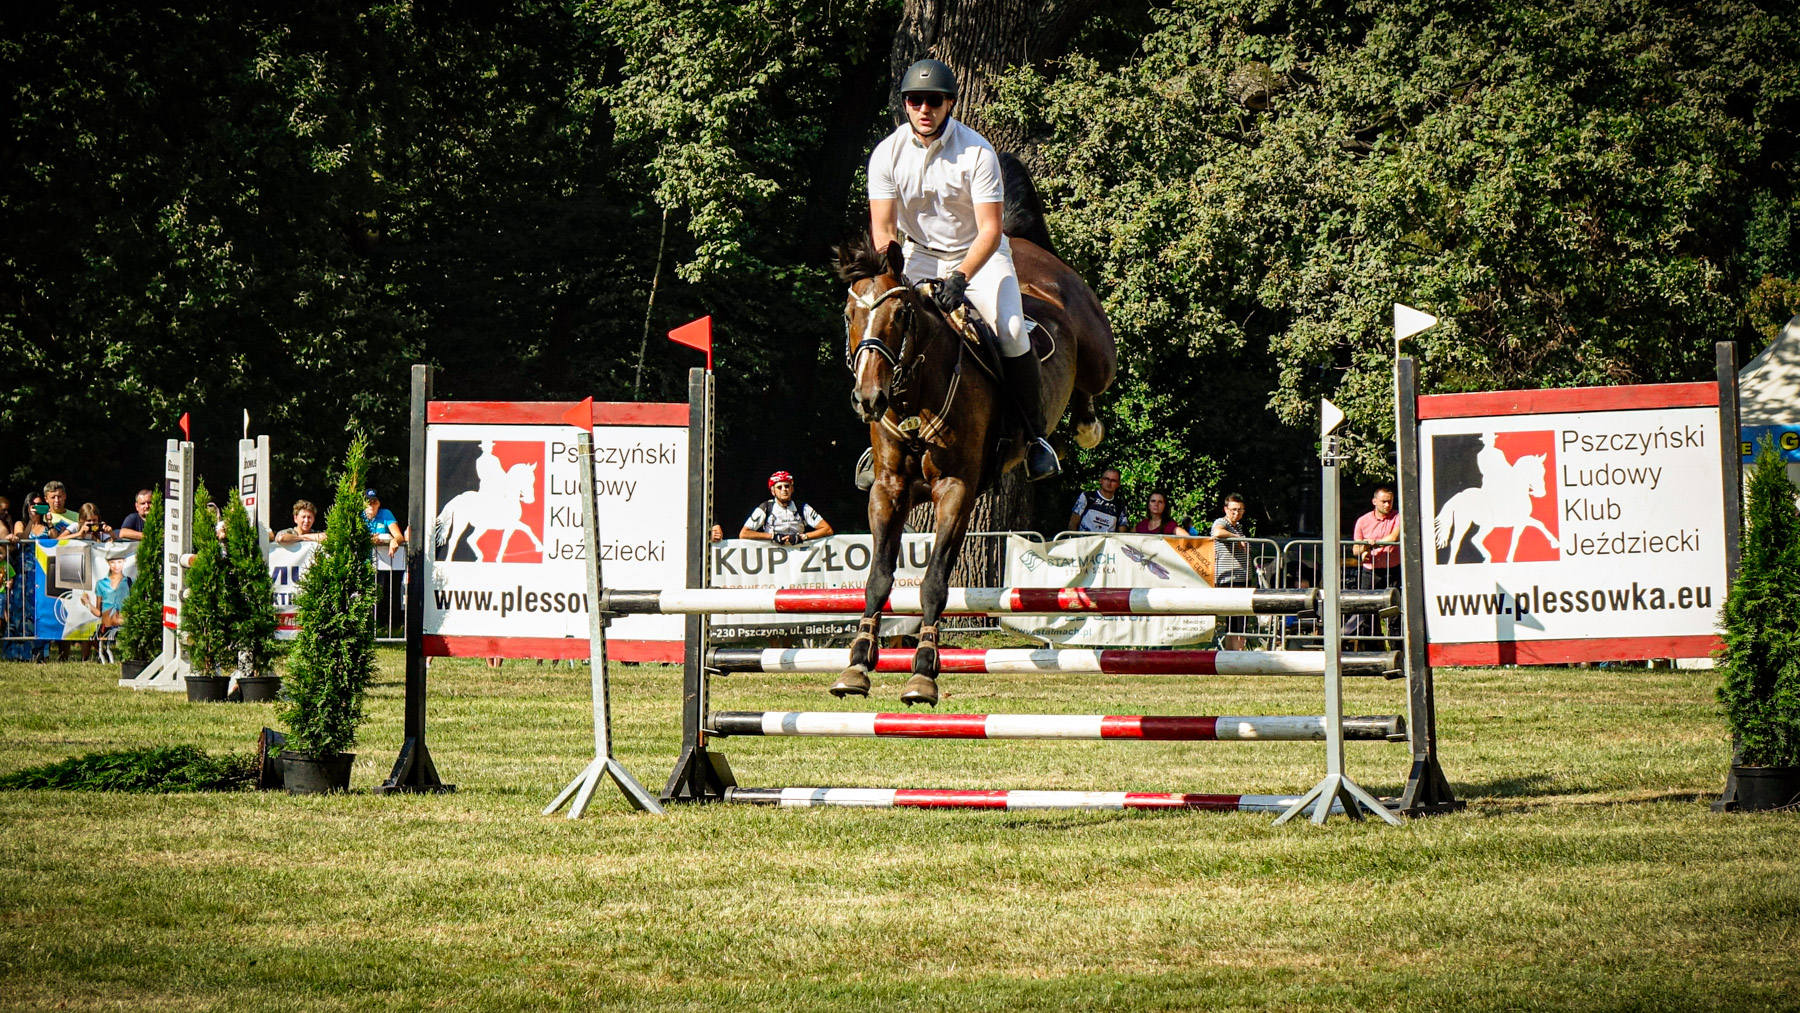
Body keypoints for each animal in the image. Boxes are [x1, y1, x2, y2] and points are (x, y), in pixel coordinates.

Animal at [835, 162, 1116, 708]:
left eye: (900, 315)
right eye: (849, 315)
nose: (868, 398)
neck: (915, 392)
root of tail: (1023, 244)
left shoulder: (956, 490)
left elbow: (933, 583)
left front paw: (924, 672)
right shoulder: (888, 489)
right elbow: (879, 578)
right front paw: (857, 664)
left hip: (1096, 350)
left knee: (1093, 387)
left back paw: (1080, 429)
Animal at [1432, 457, 1562, 568]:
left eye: (1543, 472)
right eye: (1535, 471)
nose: (1542, 493)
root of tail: (1459, 495)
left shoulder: (1524, 519)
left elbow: (1540, 524)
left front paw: (1555, 543)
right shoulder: (1520, 521)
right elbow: (1516, 538)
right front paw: (1509, 559)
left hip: (1465, 524)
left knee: (1456, 541)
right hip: (1482, 524)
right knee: (1475, 539)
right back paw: (1487, 558)